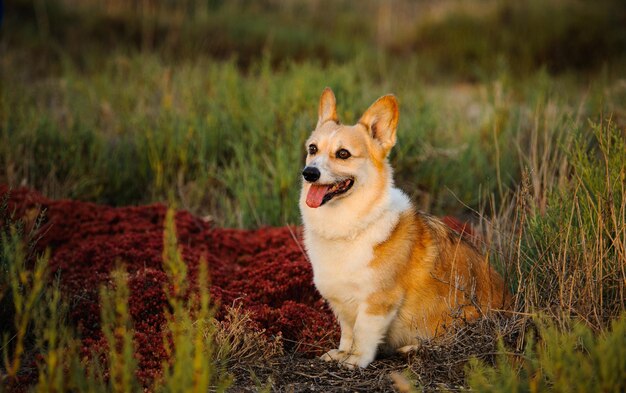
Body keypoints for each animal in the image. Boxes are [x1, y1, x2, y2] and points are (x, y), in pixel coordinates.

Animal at [300, 88, 510, 368]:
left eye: (343, 153)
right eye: (312, 149)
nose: (308, 173)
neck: (350, 224)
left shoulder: (378, 302)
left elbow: (363, 333)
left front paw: (355, 360)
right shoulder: (342, 302)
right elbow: (347, 331)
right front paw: (341, 353)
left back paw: (412, 348)